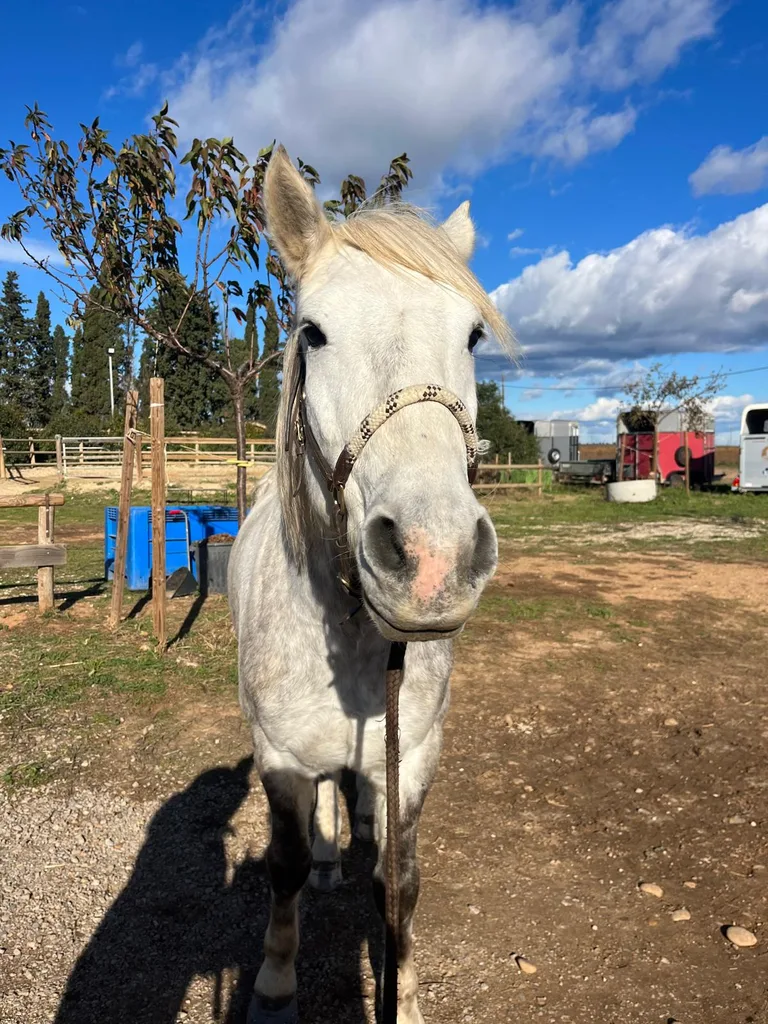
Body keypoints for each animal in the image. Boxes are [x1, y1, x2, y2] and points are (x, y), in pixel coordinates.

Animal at [228, 146, 514, 1024]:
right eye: (312, 333)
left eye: (473, 334)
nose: (433, 558)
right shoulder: (279, 756)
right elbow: (283, 866)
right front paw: (275, 983)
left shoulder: (414, 753)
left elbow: (400, 882)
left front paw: (406, 999)